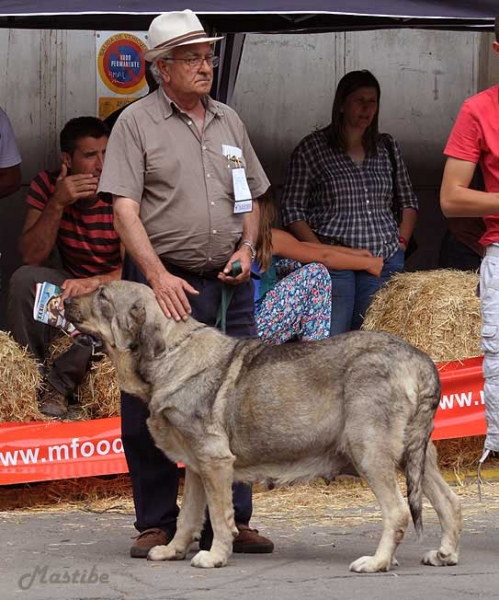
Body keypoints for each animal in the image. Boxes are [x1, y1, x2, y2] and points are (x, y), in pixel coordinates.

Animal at [64, 282, 462, 572]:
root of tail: (420, 360)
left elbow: (220, 516)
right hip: (416, 456)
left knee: (397, 512)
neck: (171, 354)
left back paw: (377, 562)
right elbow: (188, 516)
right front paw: (172, 550)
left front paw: (215, 556)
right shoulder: (195, 467)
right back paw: (444, 554)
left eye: (102, 296)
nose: (64, 300)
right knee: (449, 502)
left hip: (370, 452)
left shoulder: (214, 462)